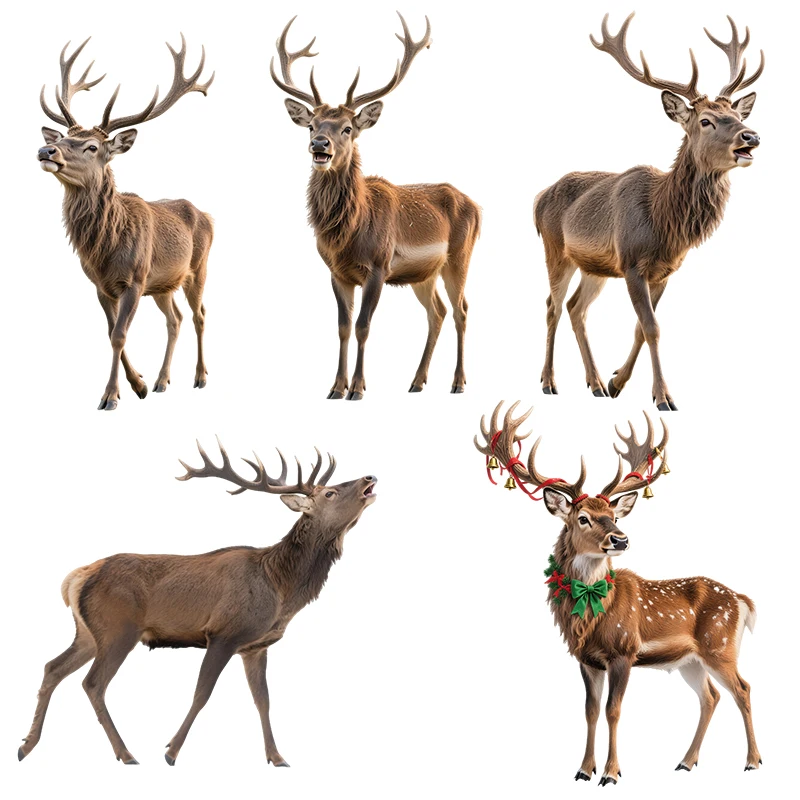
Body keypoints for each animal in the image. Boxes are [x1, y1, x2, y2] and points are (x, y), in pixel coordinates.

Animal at [18, 441, 377, 766]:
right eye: (330, 493)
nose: (369, 477)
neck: (281, 590)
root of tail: (76, 578)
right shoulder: (223, 634)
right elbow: (202, 693)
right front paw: (171, 751)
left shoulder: (255, 647)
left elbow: (263, 700)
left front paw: (277, 757)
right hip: (118, 630)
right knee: (93, 683)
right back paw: (126, 753)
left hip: (89, 633)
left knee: (52, 667)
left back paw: (27, 744)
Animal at [38, 36, 214, 411]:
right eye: (60, 138)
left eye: (92, 146)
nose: (46, 152)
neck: (105, 248)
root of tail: (205, 214)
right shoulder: (100, 285)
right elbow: (110, 333)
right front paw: (139, 384)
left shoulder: (134, 278)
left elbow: (119, 334)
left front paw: (111, 396)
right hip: (163, 284)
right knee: (175, 319)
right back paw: (162, 381)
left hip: (198, 268)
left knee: (199, 315)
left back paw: (200, 376)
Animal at [271, 13, 481, 400]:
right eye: (311, 125)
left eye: (347, 128)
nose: (319, 145)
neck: (347, 234)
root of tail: (476, 205)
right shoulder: (336, 272)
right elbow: (342, 326)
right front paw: (335, 387)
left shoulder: (379, 266)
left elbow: (363, 326)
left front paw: (357, 388)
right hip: (424, 274)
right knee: (437, 312)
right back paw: (416, 381)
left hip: (460, 256)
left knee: (461, 309)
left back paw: (458, 382)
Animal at [475, 402, 760, 784]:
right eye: (582, 517)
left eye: (614, 515)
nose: (621, 539)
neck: (591, 614)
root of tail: (742, 601)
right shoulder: (586, 659)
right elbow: (590, 710)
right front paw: (584, 770)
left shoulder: (624, 651)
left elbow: (614, 710)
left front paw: (611, 773)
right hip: (690, 660)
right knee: (711, 697)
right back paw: (686, 761)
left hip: (720, 646)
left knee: (742, 689)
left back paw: (752, 761)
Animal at [535, 14, 764, 410]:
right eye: (705, 120)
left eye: (736, 112)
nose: (750, 136)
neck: (663, 223)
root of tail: (538, 199)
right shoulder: (631, 262)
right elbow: (653, 327)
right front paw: (663, 397)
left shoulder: (664, 271)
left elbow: (642, 328)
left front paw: (617, 382)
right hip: (556, 251)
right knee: (552, 305)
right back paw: (549, 382)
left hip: (594, 266)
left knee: (577, 308)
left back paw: (595, 383)